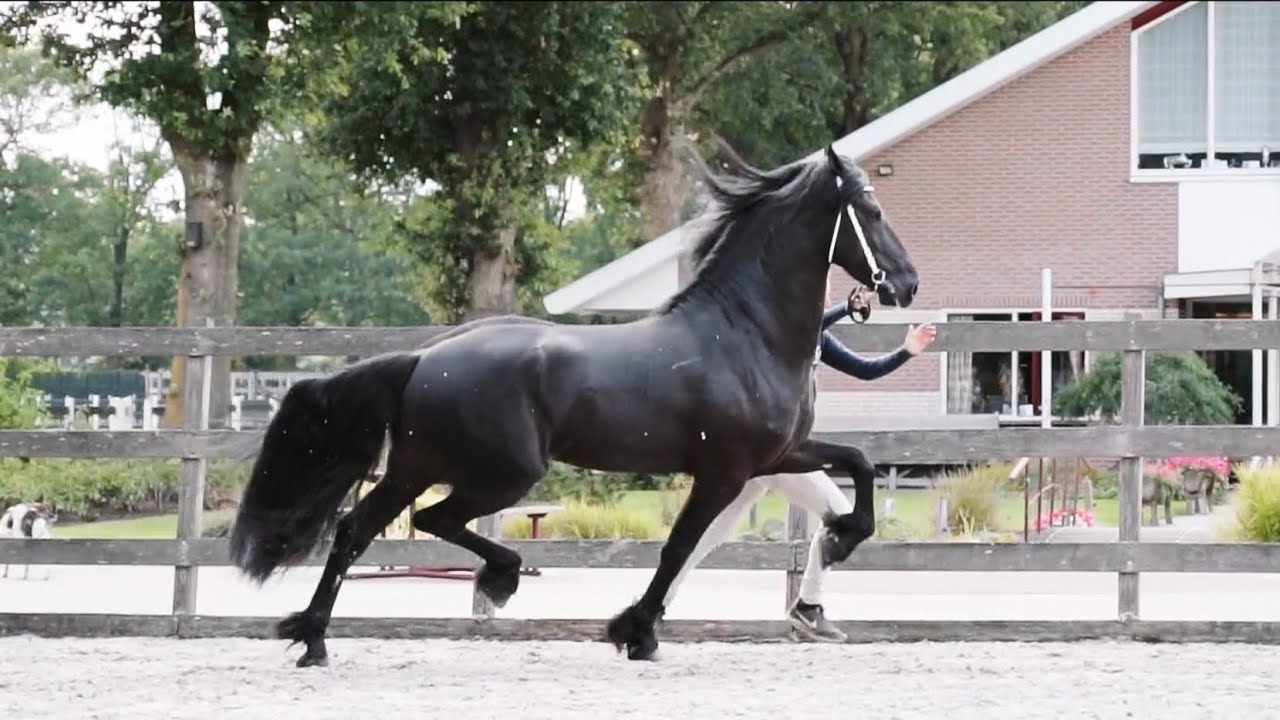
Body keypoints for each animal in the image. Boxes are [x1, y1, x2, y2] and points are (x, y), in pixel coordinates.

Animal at [228, 144, 919, 667]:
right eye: (873, 209)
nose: (908, 284)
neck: (745, 333)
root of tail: (425, 357)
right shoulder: (724, 471)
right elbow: (678, 549)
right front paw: (635, 632)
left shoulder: (777, 455)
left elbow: (857, 463)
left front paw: (839, 541)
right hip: (502, 474)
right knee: (431, 521)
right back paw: (497, 579)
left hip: (414, 468)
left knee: (355, 529)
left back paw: (313, 639)